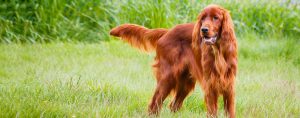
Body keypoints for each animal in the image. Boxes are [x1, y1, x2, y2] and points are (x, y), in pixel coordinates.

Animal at [109, 4, 237, 117]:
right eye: (203, 18)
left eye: (216, 17)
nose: (203, 29)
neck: (218, 51)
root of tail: (167, 32)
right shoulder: (210, 86)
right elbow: (212, 112)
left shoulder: (229, 87)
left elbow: (230, 111)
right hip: (167, 77)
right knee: (154, 104)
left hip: (185, 82)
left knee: (173, 105)